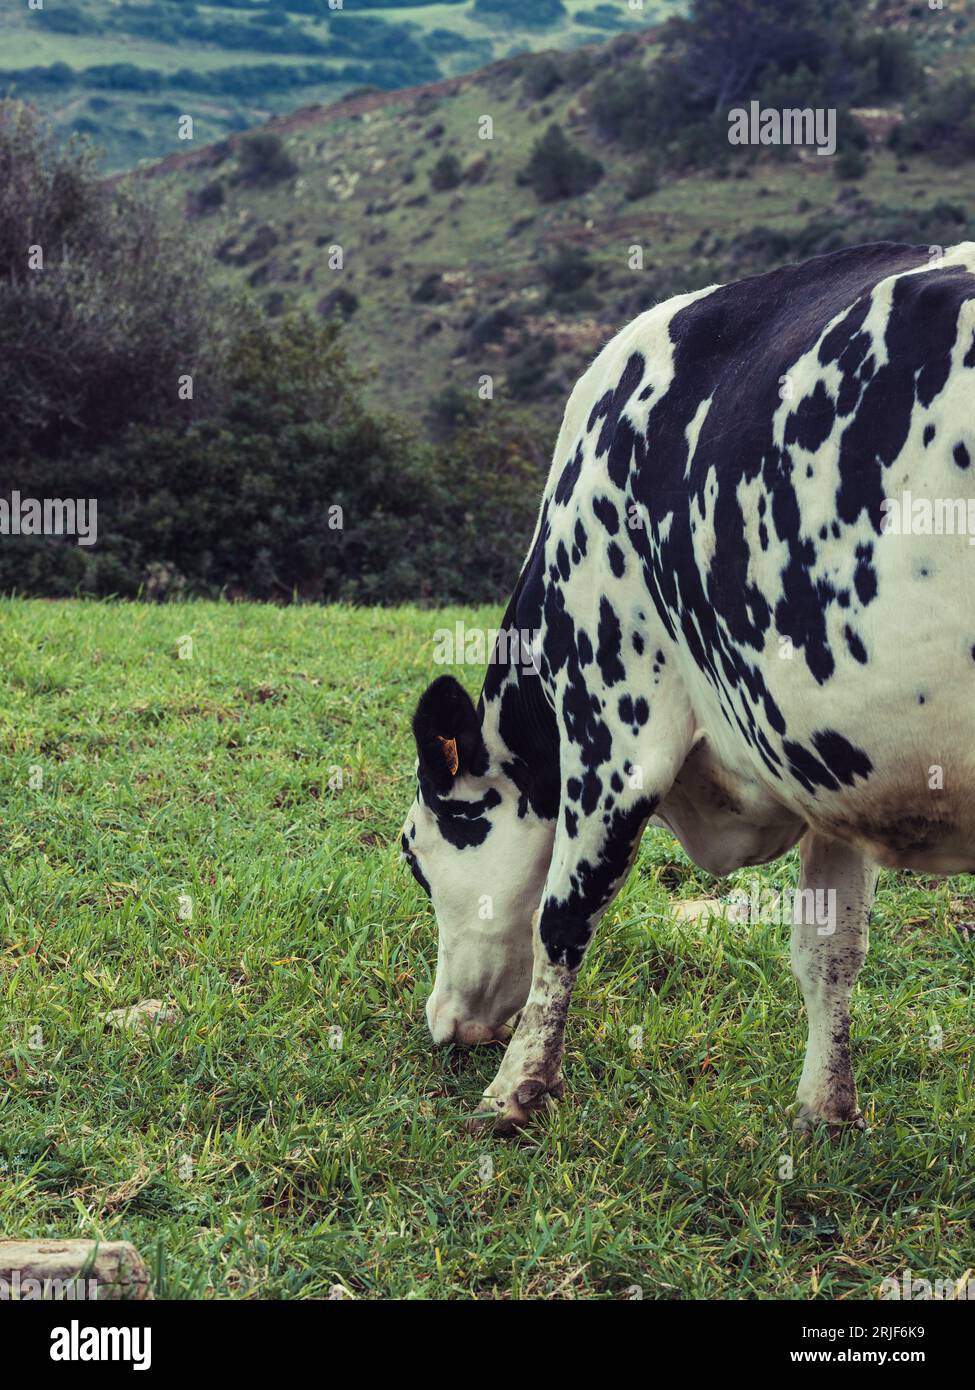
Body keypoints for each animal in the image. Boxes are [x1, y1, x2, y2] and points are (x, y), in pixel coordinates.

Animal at [402, 240, 975, 1136]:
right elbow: (830, 948)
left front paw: (515, 1090)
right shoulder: (830, 760)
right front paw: (825, 1110)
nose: (444, 1025)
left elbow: (563, 915)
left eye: (415, 854)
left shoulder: (612, 724)